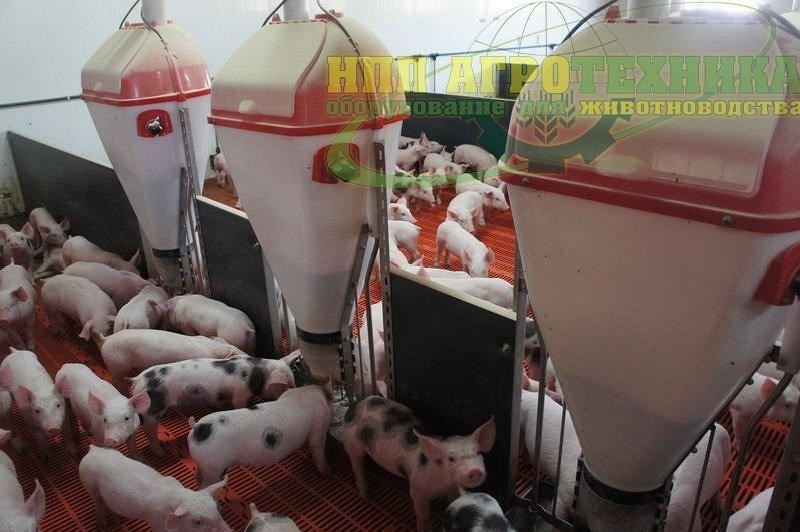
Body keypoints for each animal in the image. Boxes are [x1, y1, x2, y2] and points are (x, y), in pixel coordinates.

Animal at [79, 445, 231, 531]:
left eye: (216, 509)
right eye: (197, 522)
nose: (229, 531)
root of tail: (93, 450)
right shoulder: (156, 522)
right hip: (88, 482)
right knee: (97, 500)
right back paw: (101, 524)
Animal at [130, 355, 294, 455]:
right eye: (285, 386)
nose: (292, 391)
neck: (259, 372)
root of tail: (138, 381)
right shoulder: (240, 393)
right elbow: (239, 404)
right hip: (153, 409)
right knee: (149, 429)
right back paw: (161, 453)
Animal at [188, 381, 333, 487]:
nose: (329, 472)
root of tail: (196, 428)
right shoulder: (319, 425)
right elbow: (318, 447)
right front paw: (326, 472)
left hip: (205, 462)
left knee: (198, 474)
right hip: (215, 466)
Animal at [343, 396, 496, 531]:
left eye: (478, 453)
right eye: (451, 459)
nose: (475, 470)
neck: (444, 485)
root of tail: (357, 404)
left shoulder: (452, 491)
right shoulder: (417, 489)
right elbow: (424, 514)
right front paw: (425, 529)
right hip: (352, 443)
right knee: (357, 465)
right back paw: (366, 495)